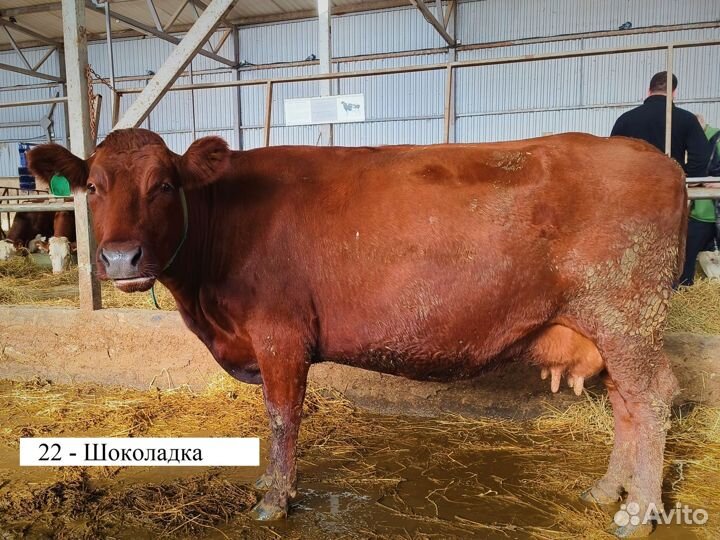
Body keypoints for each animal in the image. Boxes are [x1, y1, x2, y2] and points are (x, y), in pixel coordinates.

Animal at [28, 129, 686, 538]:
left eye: (163, 184)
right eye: (93, 187)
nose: (120, 258)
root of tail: (654, 158)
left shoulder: (280, 336)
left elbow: (282, 416)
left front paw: (275, 498)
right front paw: (269, 482)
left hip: (629, 315)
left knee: (652, 397)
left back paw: (640, 509)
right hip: (611, 328)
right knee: (625, 403)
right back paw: (609, 490)